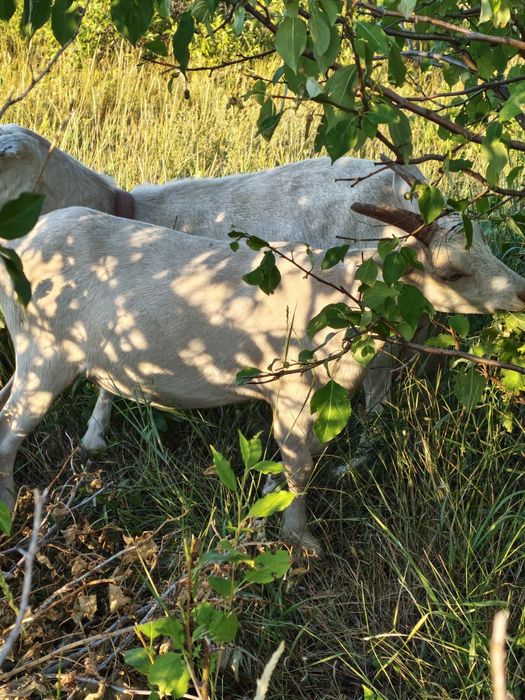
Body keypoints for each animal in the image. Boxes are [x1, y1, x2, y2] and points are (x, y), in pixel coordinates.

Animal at [0, 205, 523, 553]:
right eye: (451, 273)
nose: (521, 293)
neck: (340, 296)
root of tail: (21, 245)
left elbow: (304, 456)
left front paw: (268, 499)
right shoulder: (292, 393)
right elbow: (300, 465)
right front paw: (301, 539)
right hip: (46, 354)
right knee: (9, 427)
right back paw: (8, 508)